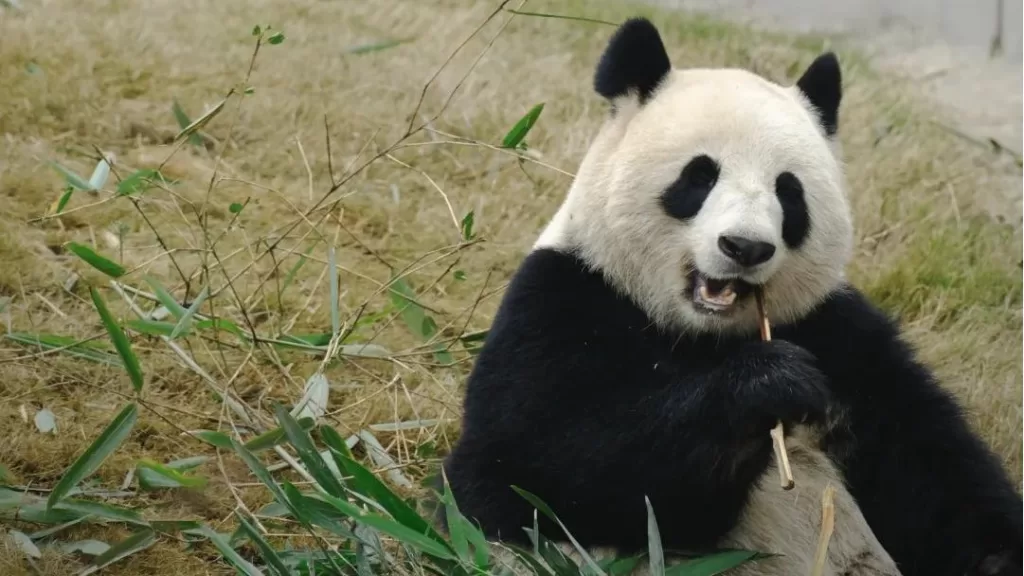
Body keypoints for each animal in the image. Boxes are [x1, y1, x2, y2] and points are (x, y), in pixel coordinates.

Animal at [438, 17, 1022, 576]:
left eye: (789, 192)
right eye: (699, 176)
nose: (745, 246)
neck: (704, 335)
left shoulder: (840, 336)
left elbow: (931, 468)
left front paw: (999, 556)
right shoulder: (562, 300)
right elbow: (535, 463)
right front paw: (769, 383)